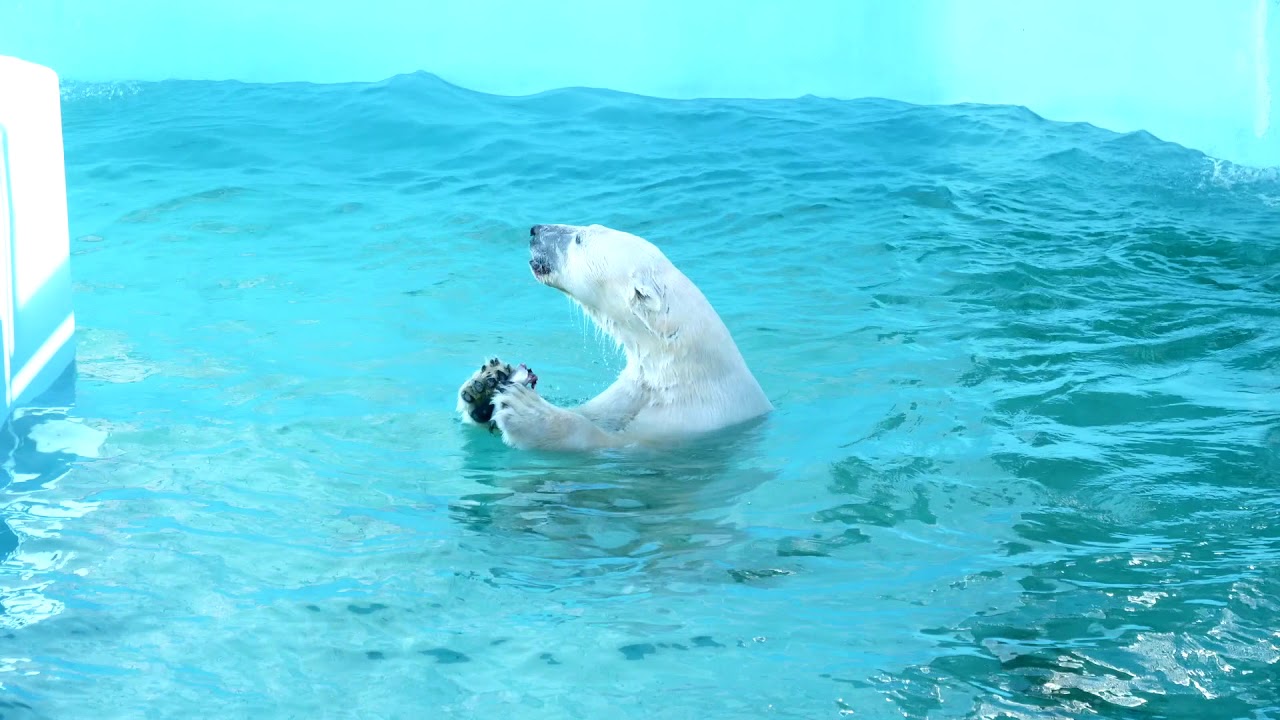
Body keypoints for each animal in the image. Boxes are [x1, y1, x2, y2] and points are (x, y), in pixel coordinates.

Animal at [456, 223, 773, 452]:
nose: (535, 230)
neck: (682, 372)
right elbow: (595, 413)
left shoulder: (688, 422)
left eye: (579, 238)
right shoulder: (634, 390)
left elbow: (604, 441)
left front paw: (529, 413)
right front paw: (485, 385)